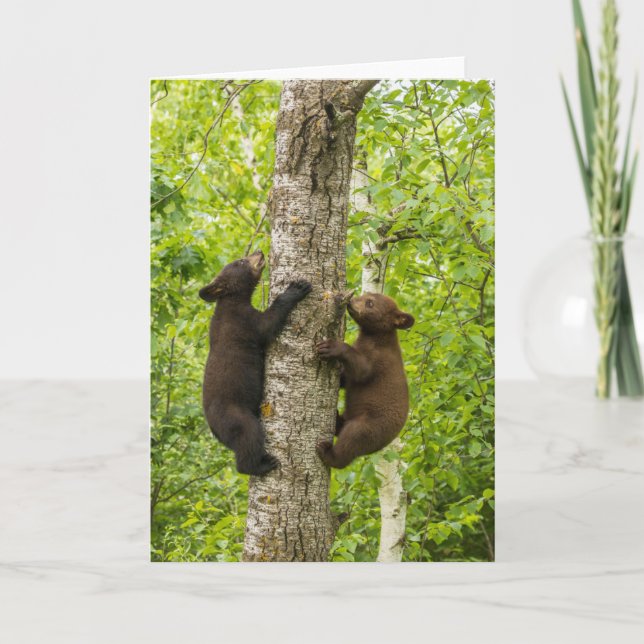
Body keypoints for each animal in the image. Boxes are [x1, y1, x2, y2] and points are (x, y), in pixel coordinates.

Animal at [199, 250, 311, 475]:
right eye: (241, 261)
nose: (259, 252)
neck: (231, 301)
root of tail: (214, 431)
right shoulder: (243, 322)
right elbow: (268, 324)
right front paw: (296, 288)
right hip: (236, 416)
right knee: (249, 436)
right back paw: (262, 464)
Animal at [315, 292, 414, 469]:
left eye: (370, 303)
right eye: (365, 294)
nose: (351, 301)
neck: (375, 337)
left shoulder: (380, 359)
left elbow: (361, 371)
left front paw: (331, 347)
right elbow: (347, 378)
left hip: (371, 426)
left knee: (352, 438)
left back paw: (328, 453)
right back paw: (337, 419)